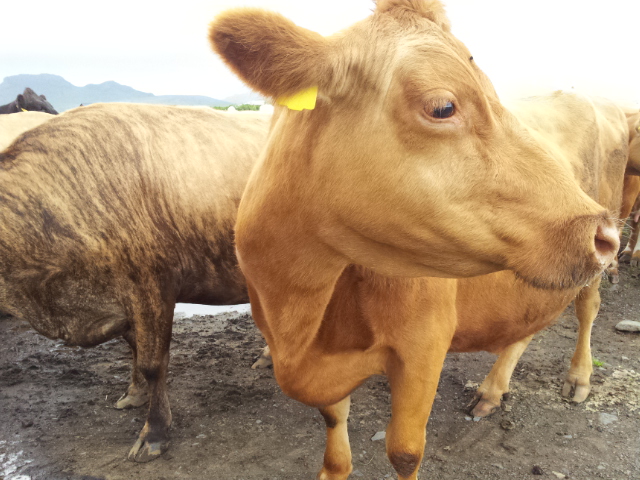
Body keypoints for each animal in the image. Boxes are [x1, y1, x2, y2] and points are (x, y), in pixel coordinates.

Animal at [210, 1, 622, 479]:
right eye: (443, 106)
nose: (603, 233)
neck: (297, 311)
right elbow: (333, 421)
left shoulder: (424, 342)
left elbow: (404, 451)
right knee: (527, 326)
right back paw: (492, 389)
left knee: (588, 306)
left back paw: (578, 378)